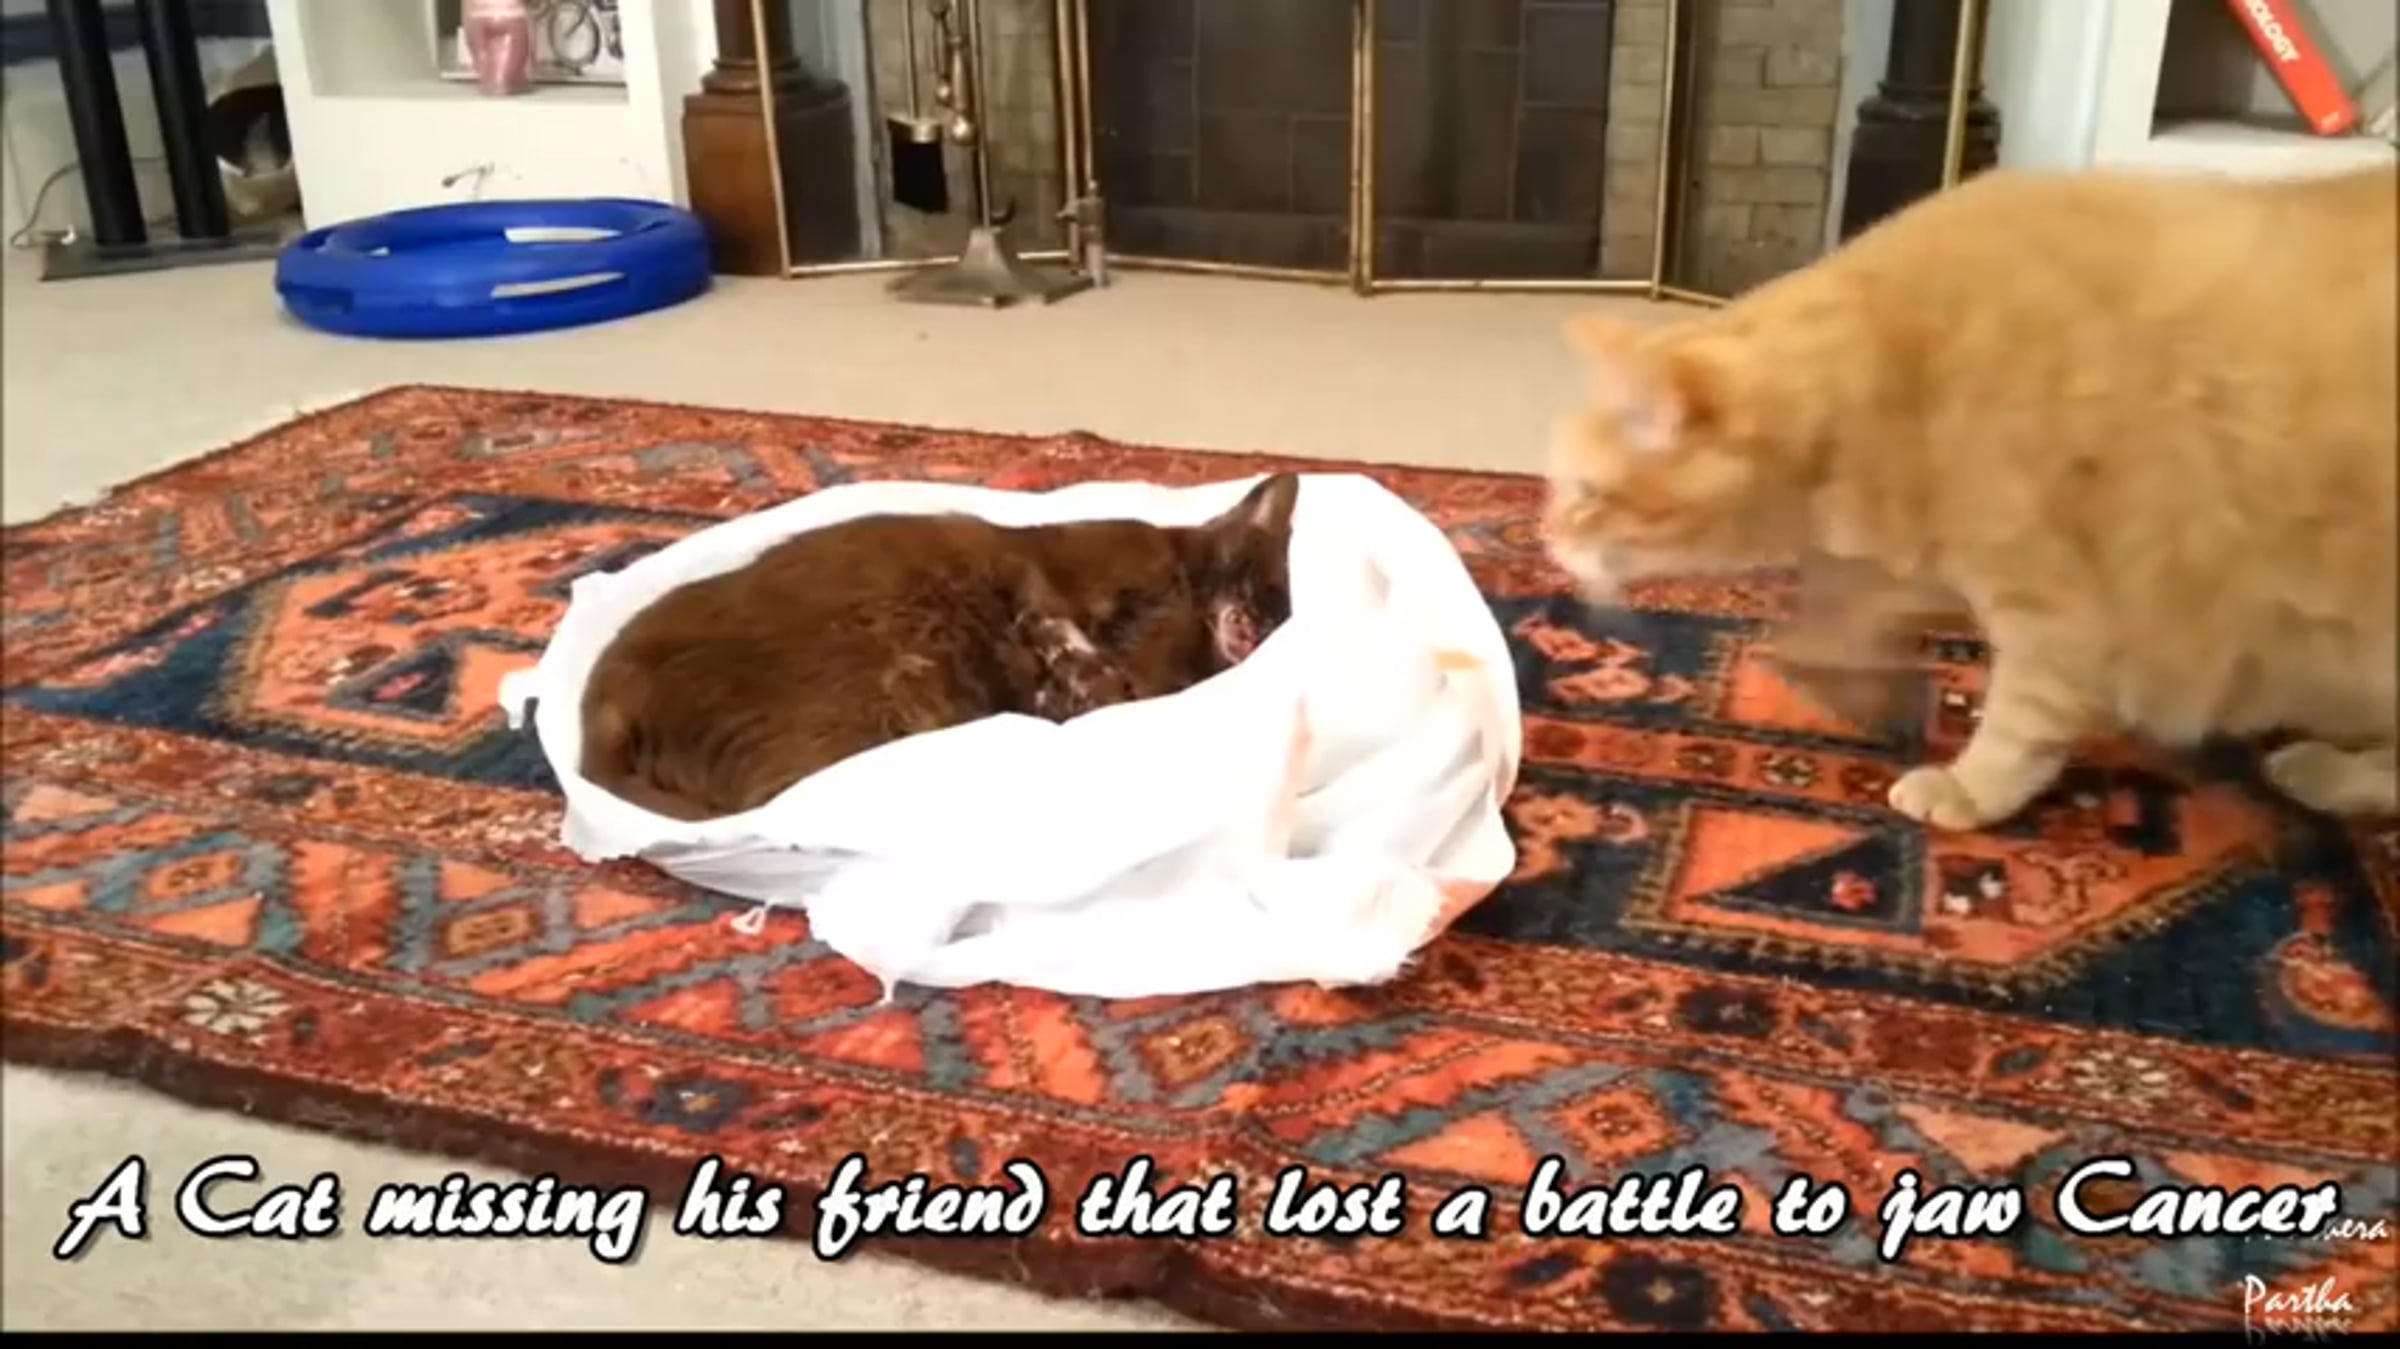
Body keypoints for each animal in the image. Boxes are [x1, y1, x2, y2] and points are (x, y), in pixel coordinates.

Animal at [579, 473, 1303, 822]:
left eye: (1286, 610)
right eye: (1270, 588)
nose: (1264, 628)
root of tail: (601, 705)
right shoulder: (1042, 572)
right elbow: (1055, 621)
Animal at [1542, 162, 2398, 830]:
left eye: (1583, 493)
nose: (1545, 539)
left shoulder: (2059, 607)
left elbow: (2022, 716)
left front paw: (1971, 788)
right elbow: (1844, 610)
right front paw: (1842, 678)